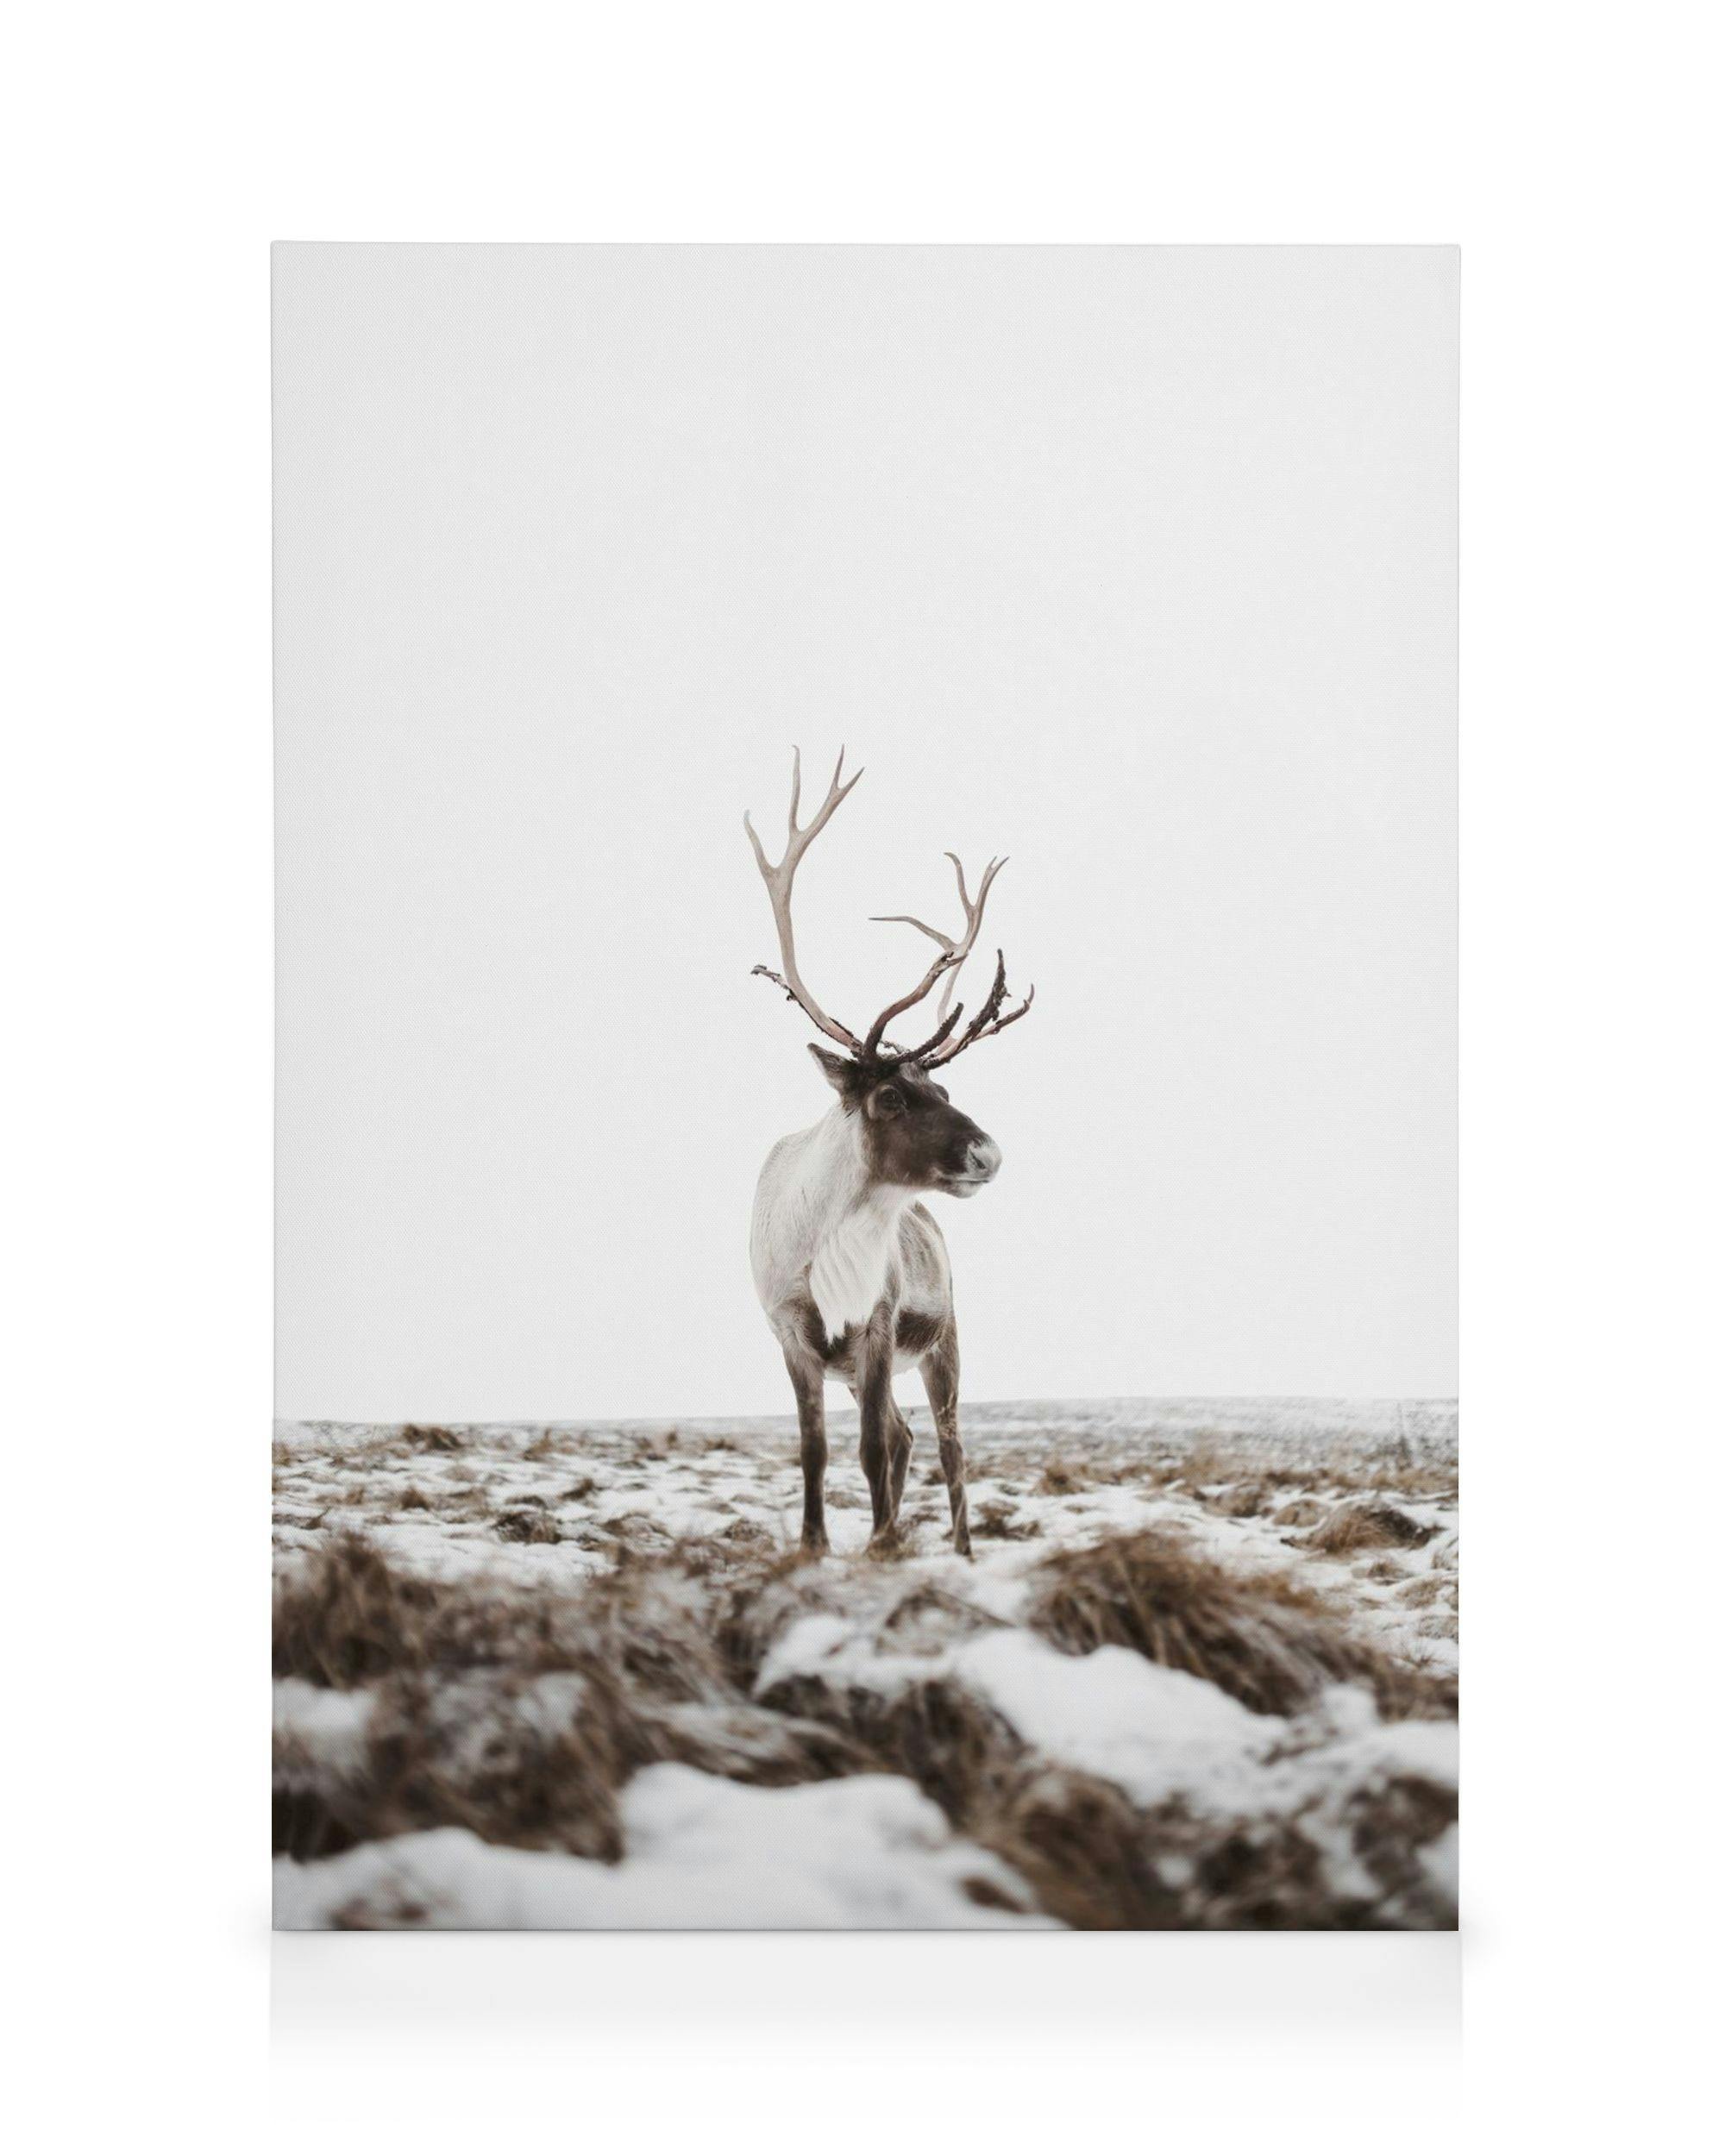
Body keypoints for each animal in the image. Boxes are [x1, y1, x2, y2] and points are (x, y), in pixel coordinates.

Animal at [744, 748, 1033, 1560]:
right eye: (891, 1097)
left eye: (940, 1082)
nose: (989, 1154)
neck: (828, 1239)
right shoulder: (792, 1333)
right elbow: (814, 1448)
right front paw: (817, 1544)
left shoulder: (876, 1325)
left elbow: (872, 1447)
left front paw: (882, 1542)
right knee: (909, 1435)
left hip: (945, 1342)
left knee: (946, 1443)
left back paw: (960, 1548)